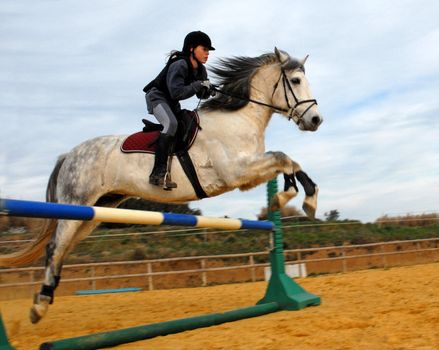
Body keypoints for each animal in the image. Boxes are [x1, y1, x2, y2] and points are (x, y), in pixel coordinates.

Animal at [0, 47, 324, 322]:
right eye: (296, 81)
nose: (316, 120)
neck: (237, 118)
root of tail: (69, 154)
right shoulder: (236, 172)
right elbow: (282, 157)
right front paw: (294, 197)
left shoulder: (248, 171)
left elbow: (288, 161)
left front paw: (299, 198)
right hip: (75, 205)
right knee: (54, 247)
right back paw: (40, 306)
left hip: (94, 212)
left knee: (63, 249)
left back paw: (45, 297)